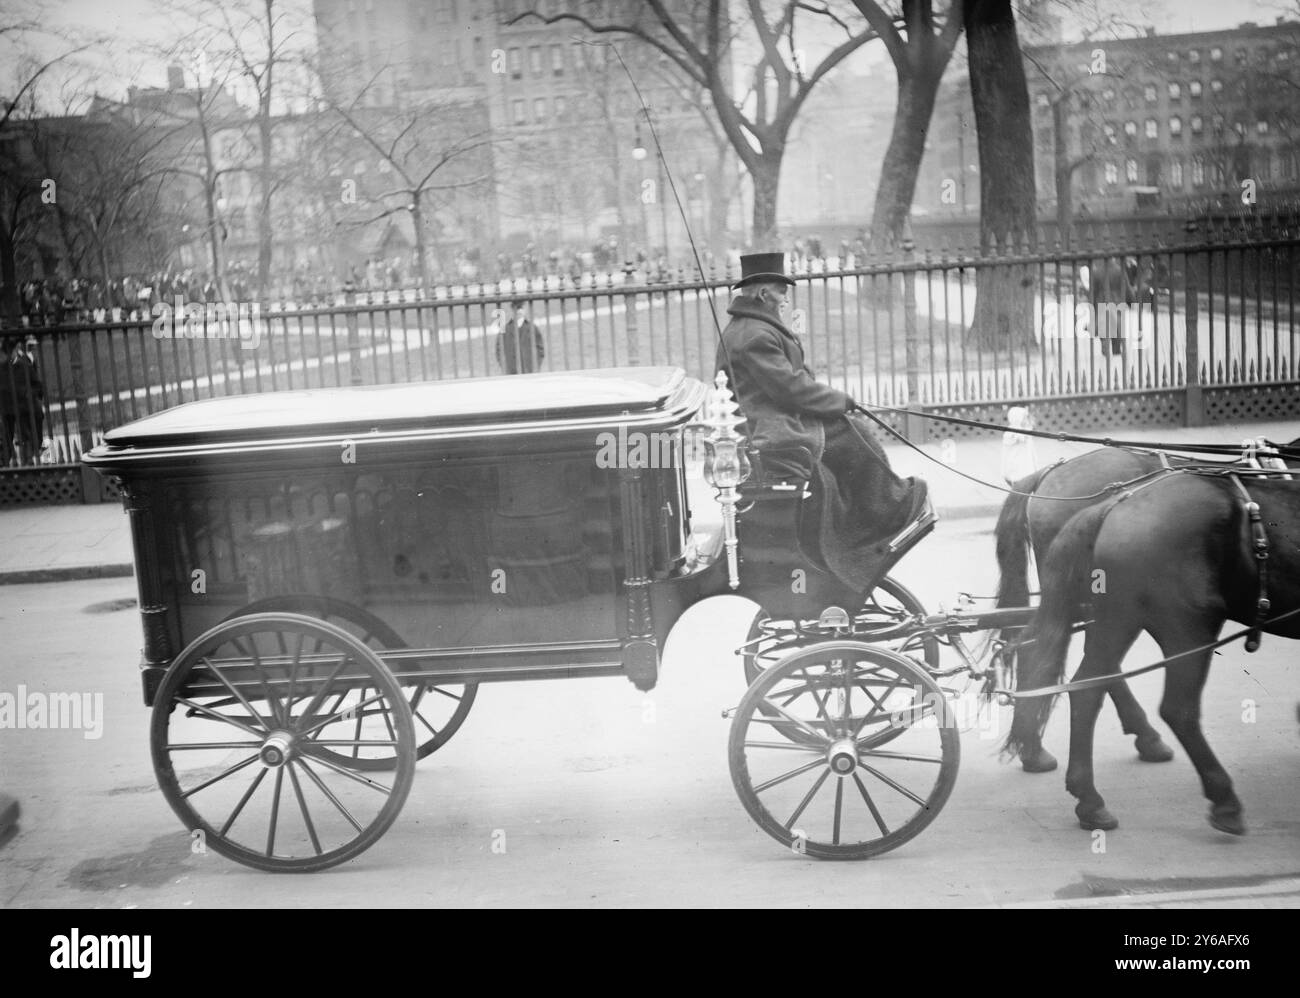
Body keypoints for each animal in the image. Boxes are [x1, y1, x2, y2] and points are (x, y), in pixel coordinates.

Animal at [1003, 473, 1300, 831]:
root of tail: (1116, 503)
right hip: (1189, 626)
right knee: (1177, 709)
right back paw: (1222, 798)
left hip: (1116, 618)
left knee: (1085, 685)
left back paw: (1087, 796)